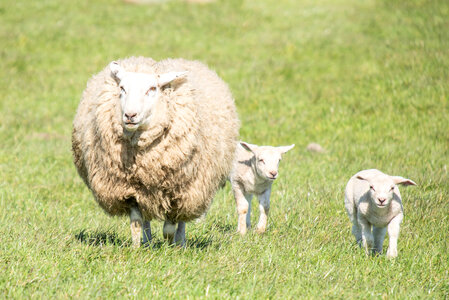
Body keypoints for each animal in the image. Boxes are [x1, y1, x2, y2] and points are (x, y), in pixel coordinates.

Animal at [71, 56, 238, 246]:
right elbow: (136, 222)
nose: (130, 115)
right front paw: (137, 247)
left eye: (152, 89)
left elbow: (169, 227)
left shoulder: (176, 190)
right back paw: (148, 241)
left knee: (182, 218)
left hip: (191, 190)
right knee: (146, 219)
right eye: (122, 88)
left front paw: (169, 245)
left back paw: (180, 243)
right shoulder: (130, 189)